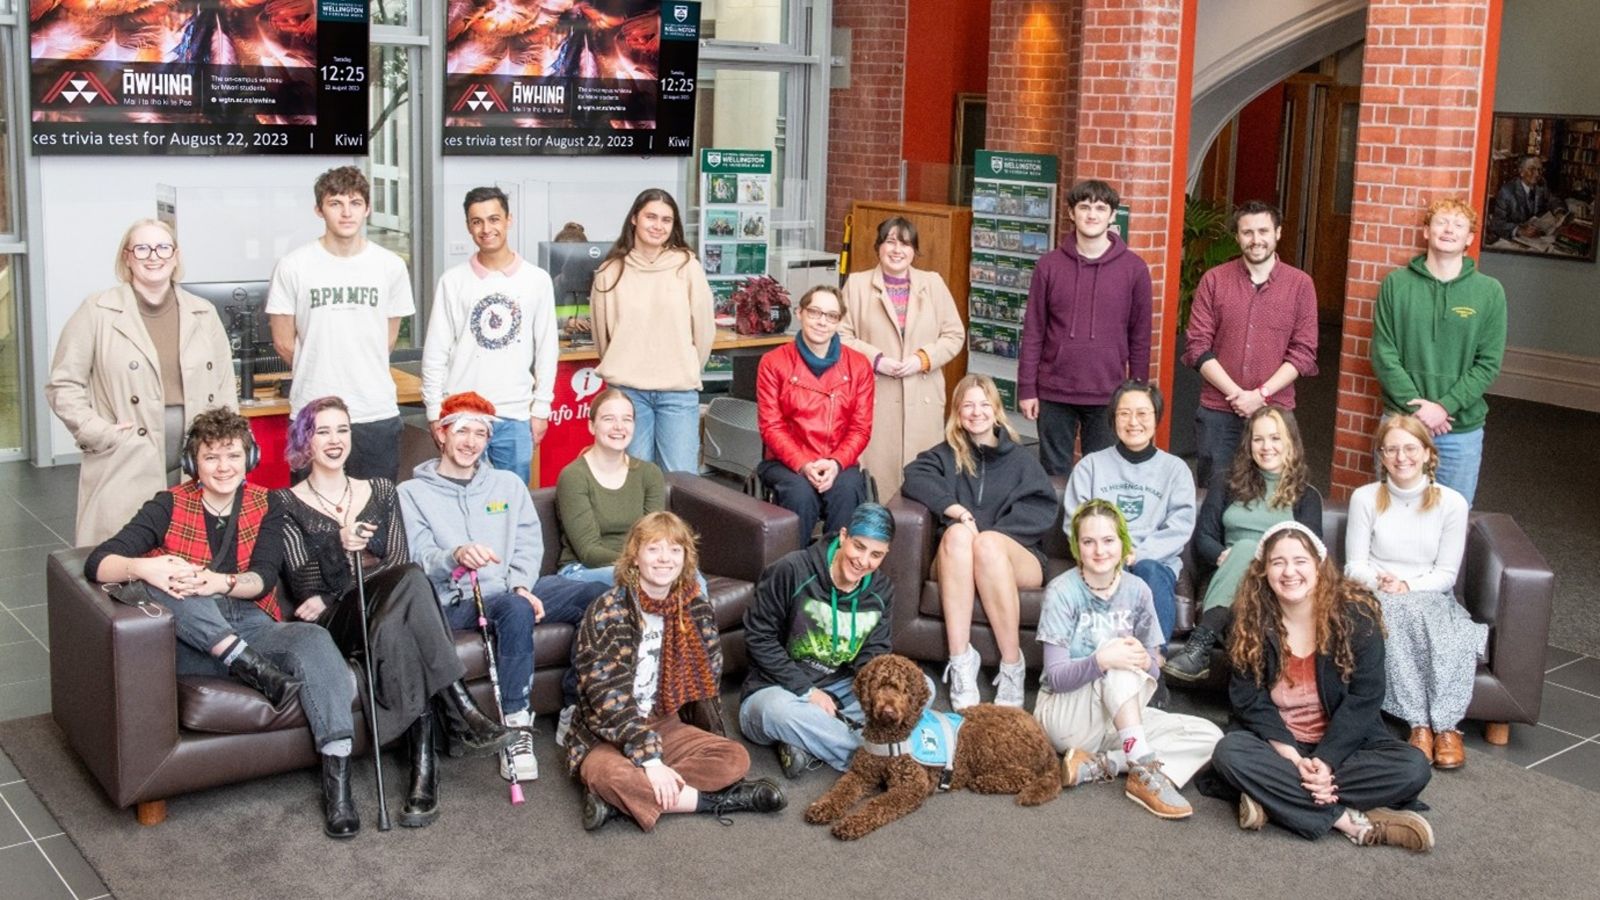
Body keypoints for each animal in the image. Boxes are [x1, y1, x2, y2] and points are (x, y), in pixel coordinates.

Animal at [800, 650, 1062, 832]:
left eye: (904, 690)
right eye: (879, 686)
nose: (888, 711)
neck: (891, 737)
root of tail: (1043, 736)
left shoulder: (910, 786)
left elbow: (877, 805)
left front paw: (851, 824)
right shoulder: (861, 773)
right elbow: (840, 790)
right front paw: (822, 807)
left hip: (988, 746)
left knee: (1025, 775)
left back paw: (986, 782)